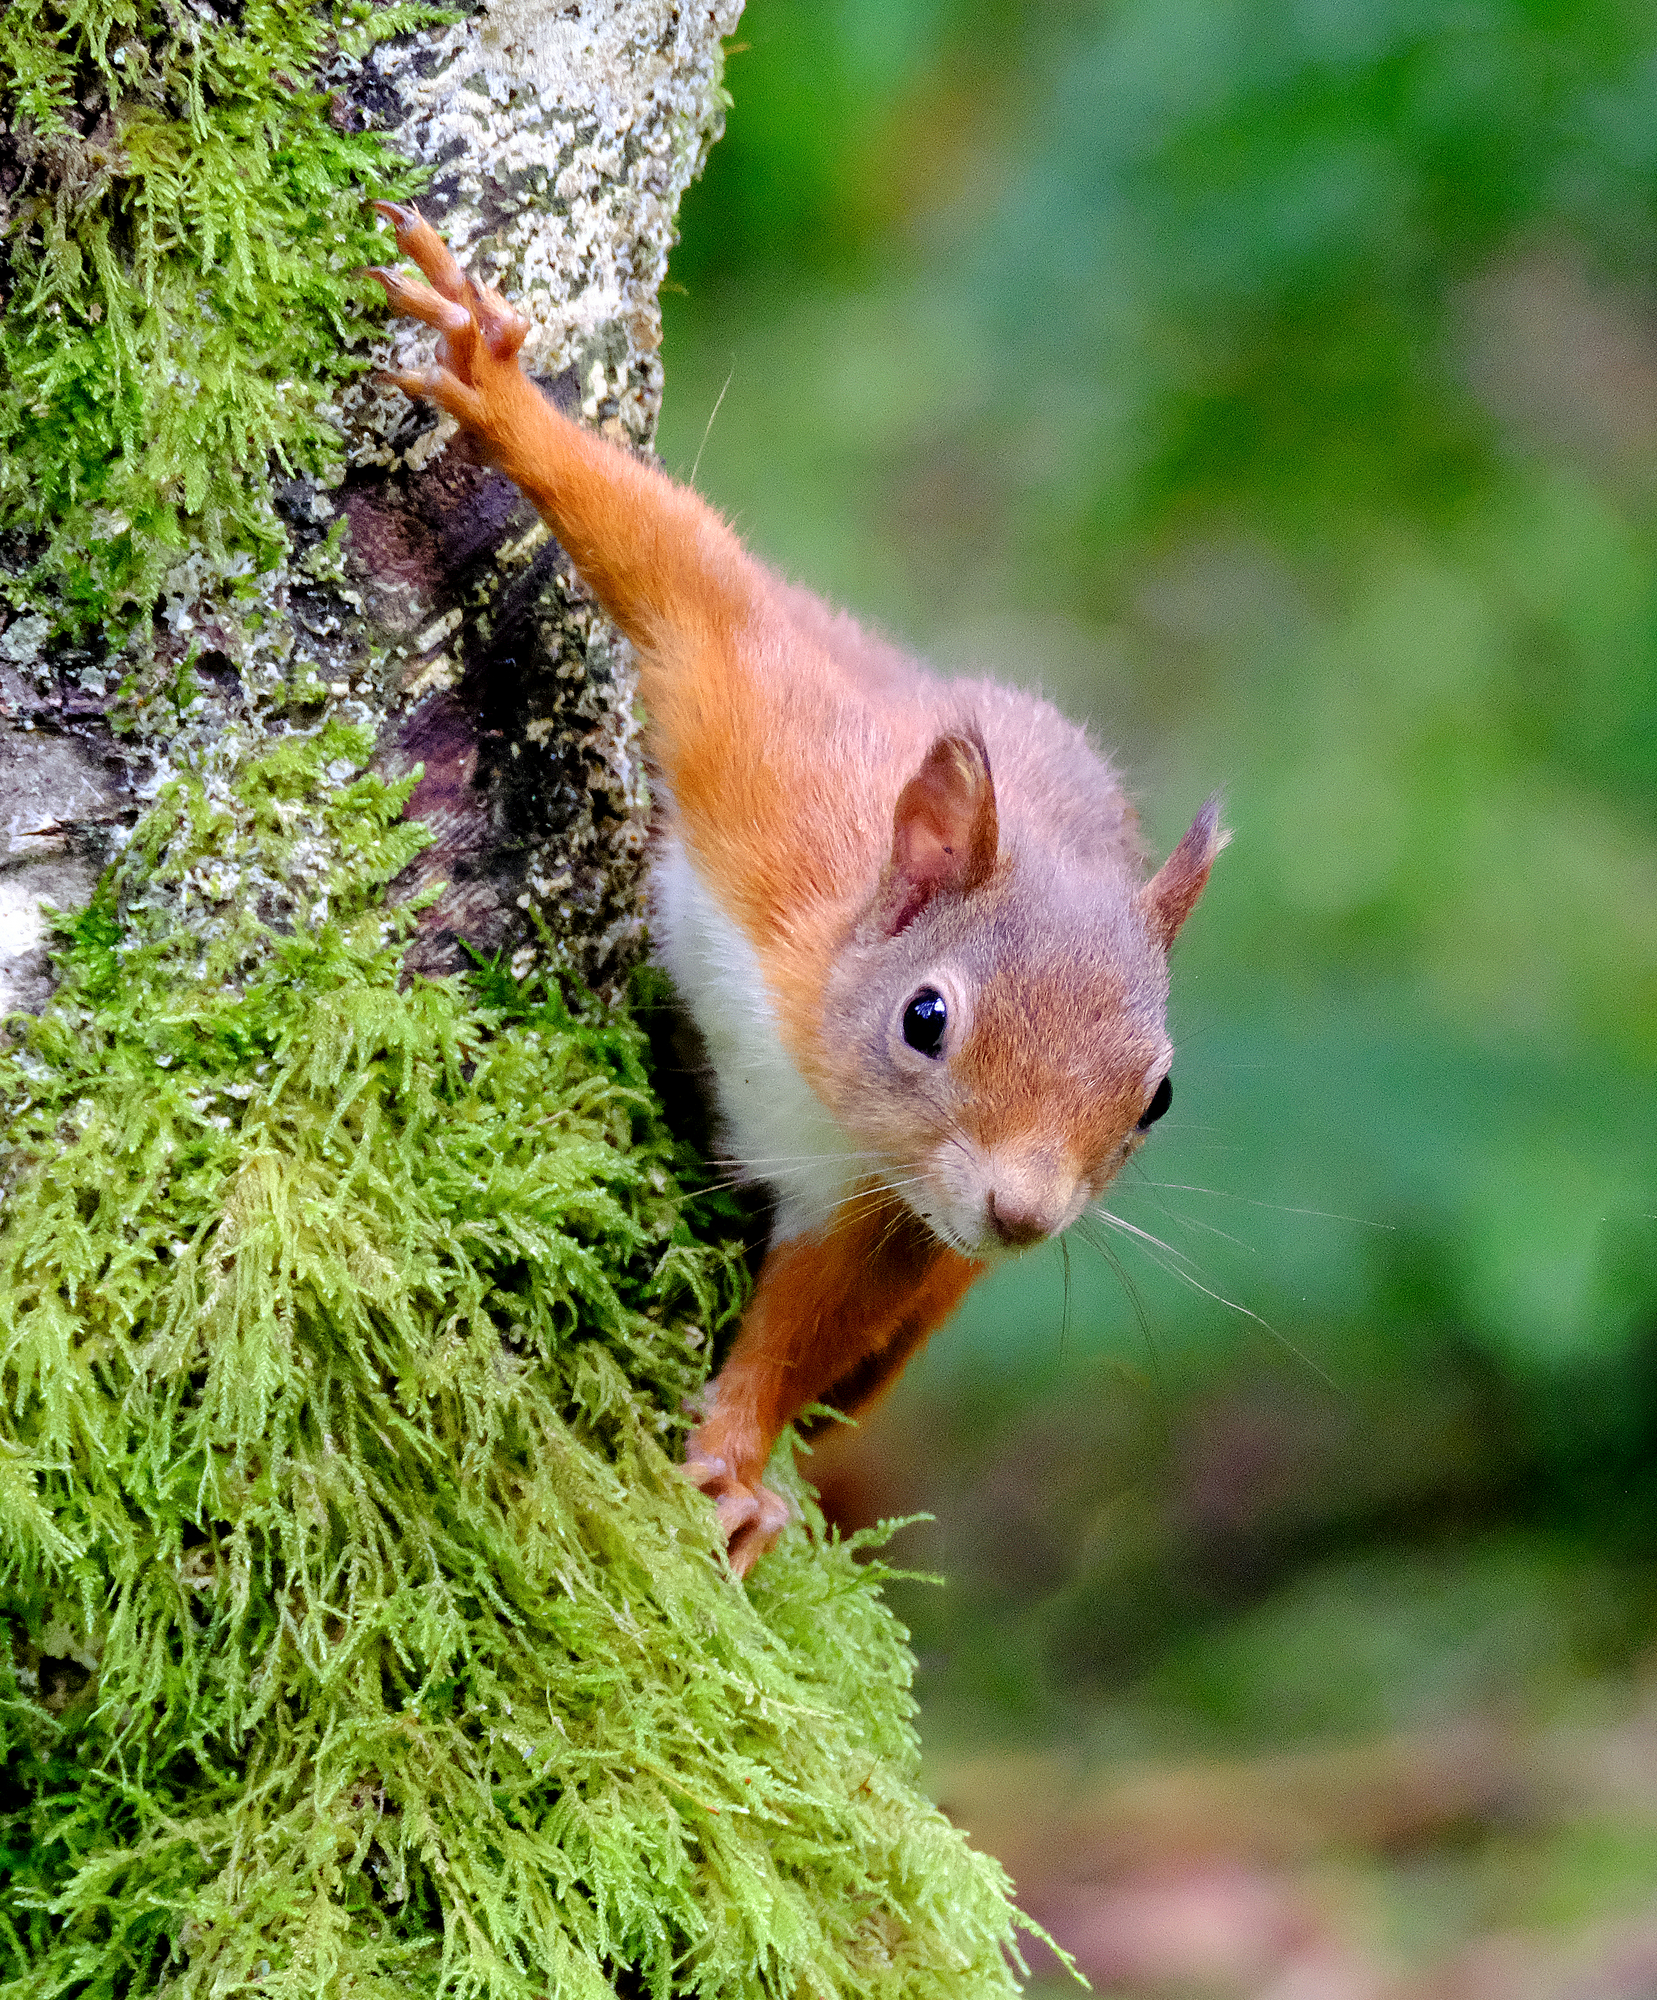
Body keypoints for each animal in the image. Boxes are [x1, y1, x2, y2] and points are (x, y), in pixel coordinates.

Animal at [365, 202, 1225, 1577]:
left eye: (1158, 1098)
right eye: (926, 1017)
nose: (1022, 1214)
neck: (814, 1049)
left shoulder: (884, 1213)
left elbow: (808, 1323)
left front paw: (735, 1462)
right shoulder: (765, 756)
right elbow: (681, 571)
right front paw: (494, 384)